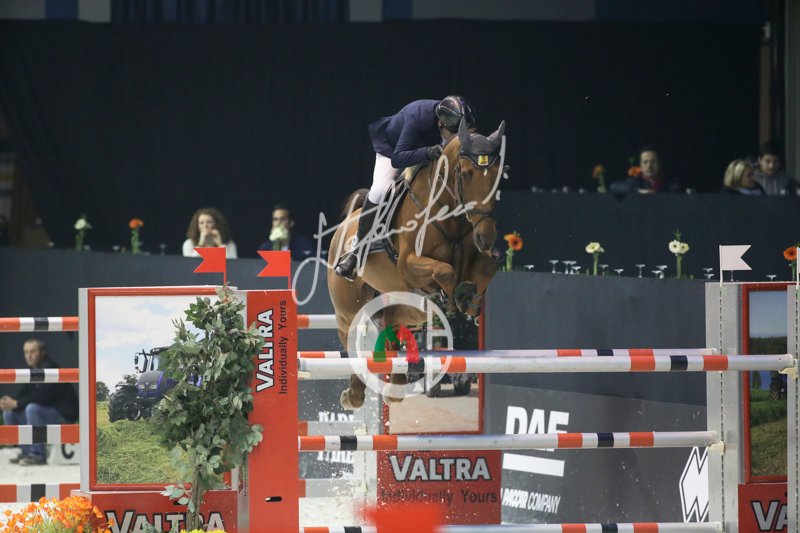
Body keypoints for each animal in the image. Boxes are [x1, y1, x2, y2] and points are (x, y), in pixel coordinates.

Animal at [327, 119, 506, 409]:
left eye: (496, 176)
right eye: (467, 174)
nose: (486, 237)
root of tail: (345, 225)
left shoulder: (476, 258)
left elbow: (486, 268)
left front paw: (470, 301)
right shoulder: (409, 264)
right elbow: (445, 271)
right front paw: (448, 297)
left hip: (403, 306)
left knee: (388, 323)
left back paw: (395, 385)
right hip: (347, 307)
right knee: (350, 335)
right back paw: (354, 394)